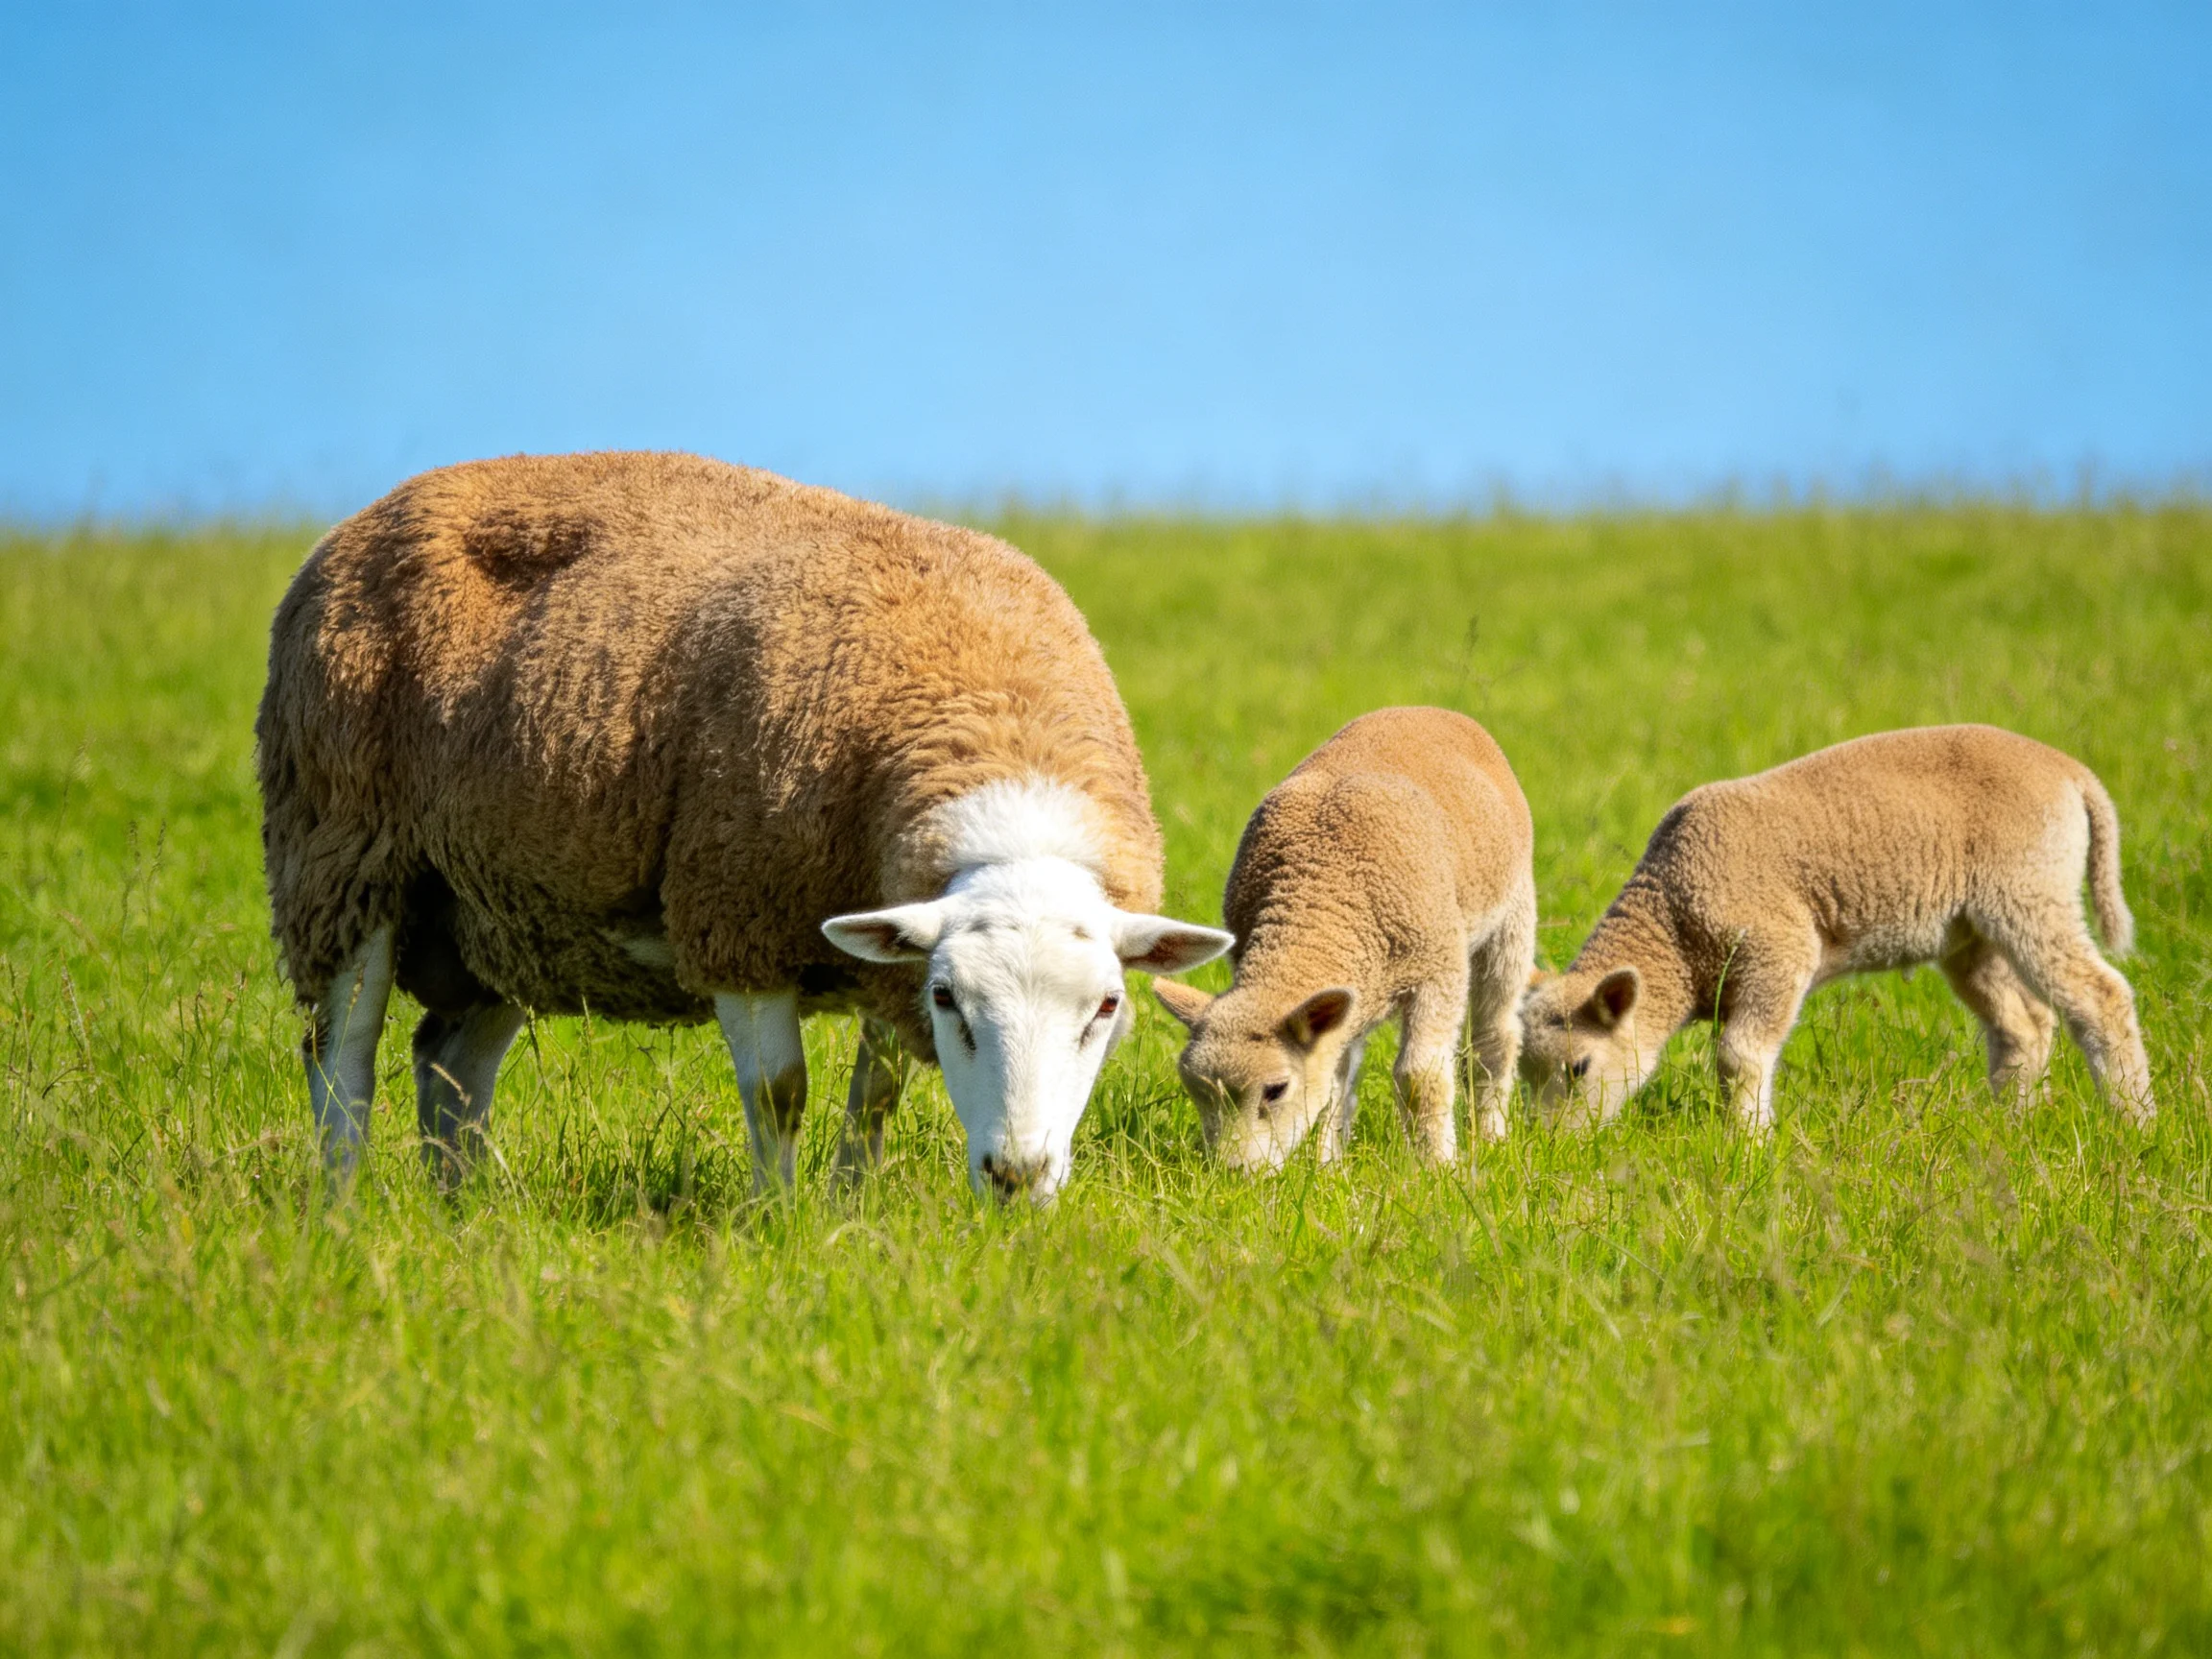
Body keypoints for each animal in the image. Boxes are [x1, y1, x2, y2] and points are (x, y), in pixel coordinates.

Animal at [256, 451, 1231, 1202]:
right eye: (952, 1000)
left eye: (1106, 1007)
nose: (1017, 1176)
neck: (993, 725)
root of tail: (371, 514)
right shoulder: (737, 916)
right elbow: (779, 1094)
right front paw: (780, 1220)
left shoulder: (887, 945)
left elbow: (875, 1097)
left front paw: (849, 1213)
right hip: (342, 855)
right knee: (342, 1063)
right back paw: (342, 1211)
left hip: (499, 909)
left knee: (449, 1069)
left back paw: (464, 1214)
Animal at [1153, 707, 1537, 1169]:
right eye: (1196, 1090)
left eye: (1276, 1090)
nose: (1232, 1173)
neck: (1319, 887)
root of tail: (1426, 710)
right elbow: (1331, 1085)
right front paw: (1326, 1169)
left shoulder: (1439, 967)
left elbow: (1420, 1077)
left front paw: (1436, 1167)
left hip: (1512, 915)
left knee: (1493, 1040)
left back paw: (1491, 1136)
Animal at [1518, 724, 2154, 1131]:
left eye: (1579, 1068)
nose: (1555, 1145)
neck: (1672, 925)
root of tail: (2069, 771)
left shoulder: (1777, 951)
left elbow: (1738, 1057)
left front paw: (1747, 1143)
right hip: (1973, 930)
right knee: (2023, 1024)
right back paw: (2008, 1122)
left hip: (2029, 890)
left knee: (2100, 997)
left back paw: (2133, 1120)